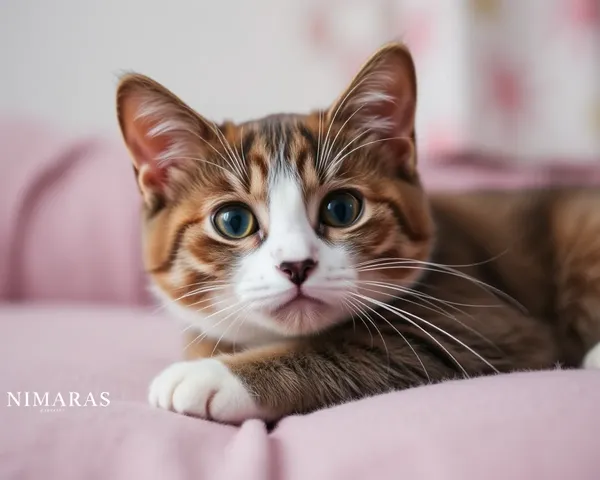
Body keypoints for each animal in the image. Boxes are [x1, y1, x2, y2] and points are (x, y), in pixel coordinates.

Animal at [116, 42, 600, 424]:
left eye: (342, 209)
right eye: (234, 221)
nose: (296, 265)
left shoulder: (490, 322)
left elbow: (367, 349)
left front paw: (211, 375)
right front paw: (207, 356)